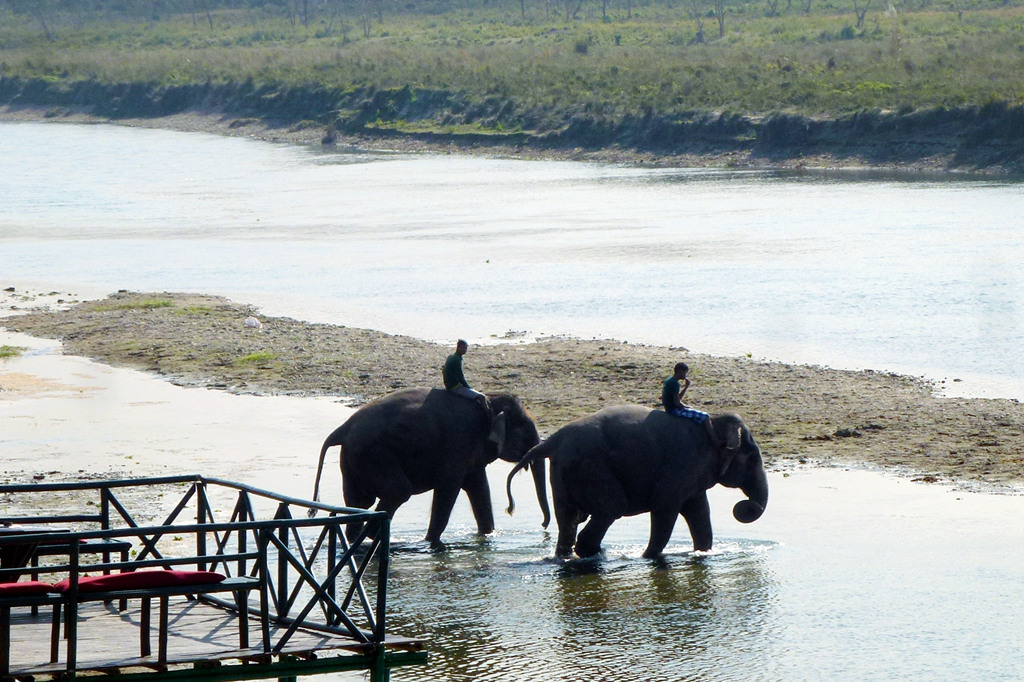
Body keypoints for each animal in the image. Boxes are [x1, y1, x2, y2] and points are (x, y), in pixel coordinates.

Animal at [311, 387, 552, 540]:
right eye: (526, 434)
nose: (543, 525)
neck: (490, 403)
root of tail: (342, 429)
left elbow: (480, 490)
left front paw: (488, 535)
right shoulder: (458, 444)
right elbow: (448, 490)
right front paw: (432, 543)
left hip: (354, 460)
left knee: (358, 502)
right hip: (373, 456)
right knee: (399, 491)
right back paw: (374, 536)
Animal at [503, 403, 770, 557]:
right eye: (752, 459)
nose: (746, 505)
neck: (713, 422)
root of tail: (552, 441)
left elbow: (699, 512)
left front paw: (702, 552)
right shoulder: (681, 467)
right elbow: (666, 511)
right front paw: (649, 558)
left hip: (563, 473)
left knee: (567, 521)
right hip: (591, 468)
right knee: (610, 509)